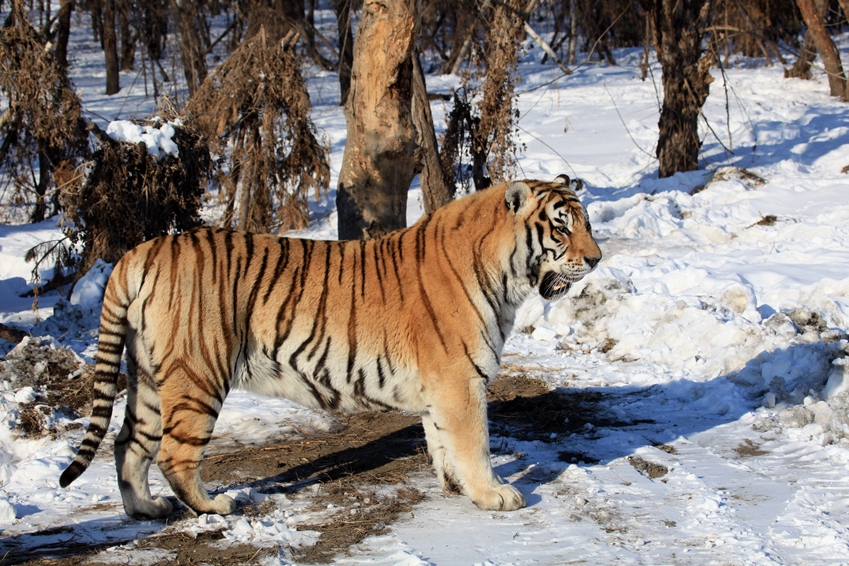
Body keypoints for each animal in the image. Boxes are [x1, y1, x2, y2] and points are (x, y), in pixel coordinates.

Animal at [59, 175, 600, 520]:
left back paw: (146, 509)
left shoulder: (442, 386)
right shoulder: (458, 380)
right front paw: (493, 495)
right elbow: (474, 443)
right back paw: (214, 505)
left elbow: (442, 442)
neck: (506, 275)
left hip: (149, 375)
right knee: (173, 453)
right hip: (197, 373)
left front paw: (454, 488)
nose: (596, 259)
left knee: (128, 443)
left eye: (586, 223)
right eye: (561, 226)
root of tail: (141, 250)